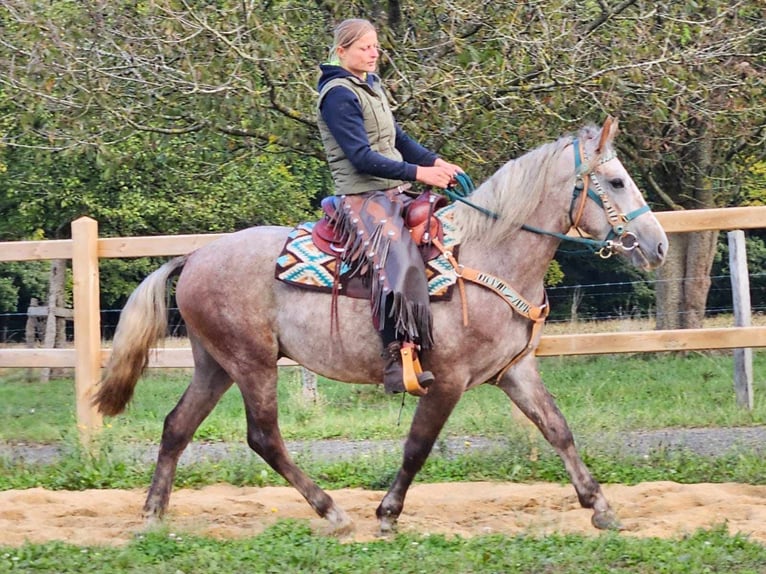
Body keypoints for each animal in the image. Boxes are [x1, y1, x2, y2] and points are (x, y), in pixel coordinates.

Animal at [96, 117, 668, 536]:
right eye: (616, 181)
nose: (658, 246)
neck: (488, 254)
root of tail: (193, 257)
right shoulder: (448, 381)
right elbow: (418, 446)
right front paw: (388, 514)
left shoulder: (515, 371)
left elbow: (558, 430)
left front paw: (601, 507)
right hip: (251, 363)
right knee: (264, 437)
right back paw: (331, 510)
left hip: (214, 365)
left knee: (177, 426)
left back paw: (152, 514)